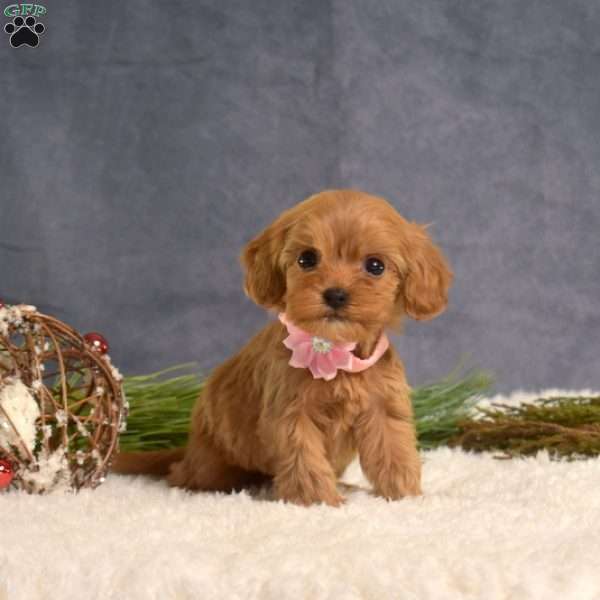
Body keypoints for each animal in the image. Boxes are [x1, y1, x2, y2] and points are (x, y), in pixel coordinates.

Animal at [111, 189, 450, 506]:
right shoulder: (291, 414)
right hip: (212, 465)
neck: (334, 353)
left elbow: (394, 453)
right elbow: (305, 461)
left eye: (375, 266)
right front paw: (318, 501)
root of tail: (190, 449)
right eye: (307, 259)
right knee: (186, 475)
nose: (336, 294)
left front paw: (405, 496)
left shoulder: (383, 409)